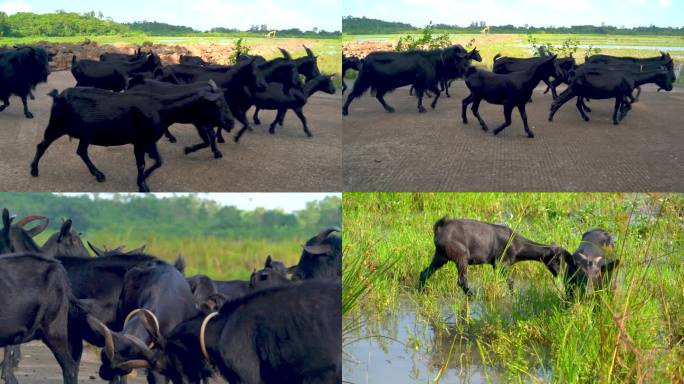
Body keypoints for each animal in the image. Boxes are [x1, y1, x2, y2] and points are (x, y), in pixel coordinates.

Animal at [416, 218, 572, 296]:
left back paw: (421, 292)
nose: (560, 274)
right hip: (461, 257)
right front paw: (514, 296)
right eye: (558, 260)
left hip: (441, 256)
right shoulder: (501, 264)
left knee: (424, 273)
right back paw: (472, 295)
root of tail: (439, 228)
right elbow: (510, 282)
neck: (517, 244)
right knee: (462, 281)